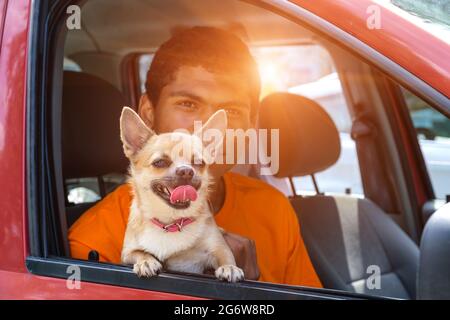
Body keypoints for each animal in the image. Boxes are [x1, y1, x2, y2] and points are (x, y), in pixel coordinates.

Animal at [119, 108, 244, 282]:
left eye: (199, 162)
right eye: (159, 162)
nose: (186, 171)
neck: (172, 222)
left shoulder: (218, 247)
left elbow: (225, 255)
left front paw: (230, 268)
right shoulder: (126, 253)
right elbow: (139, 252)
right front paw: (146, 261)